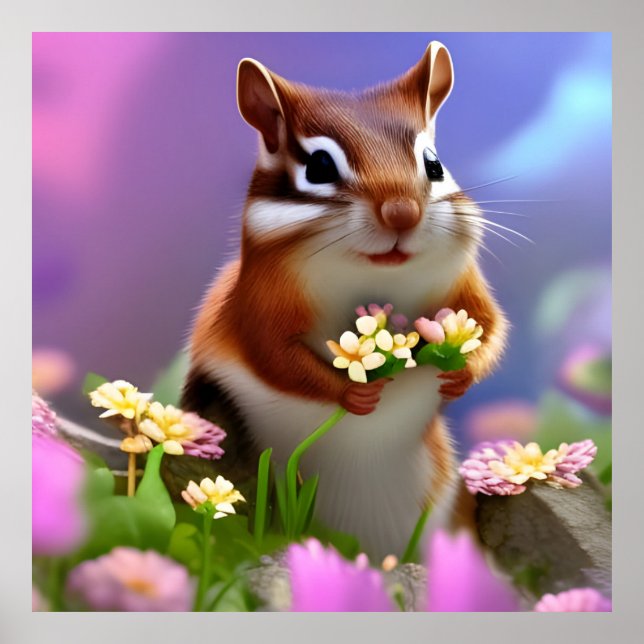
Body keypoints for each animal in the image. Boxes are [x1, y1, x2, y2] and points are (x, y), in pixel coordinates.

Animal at [180, 41, 507, 558]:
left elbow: (491, 326)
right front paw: (354, 392)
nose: (402, 212)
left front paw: (463, 373)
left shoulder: (466, 290)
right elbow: (274, 356)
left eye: (434, 164)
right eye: (318, 166)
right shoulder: (255, 307)